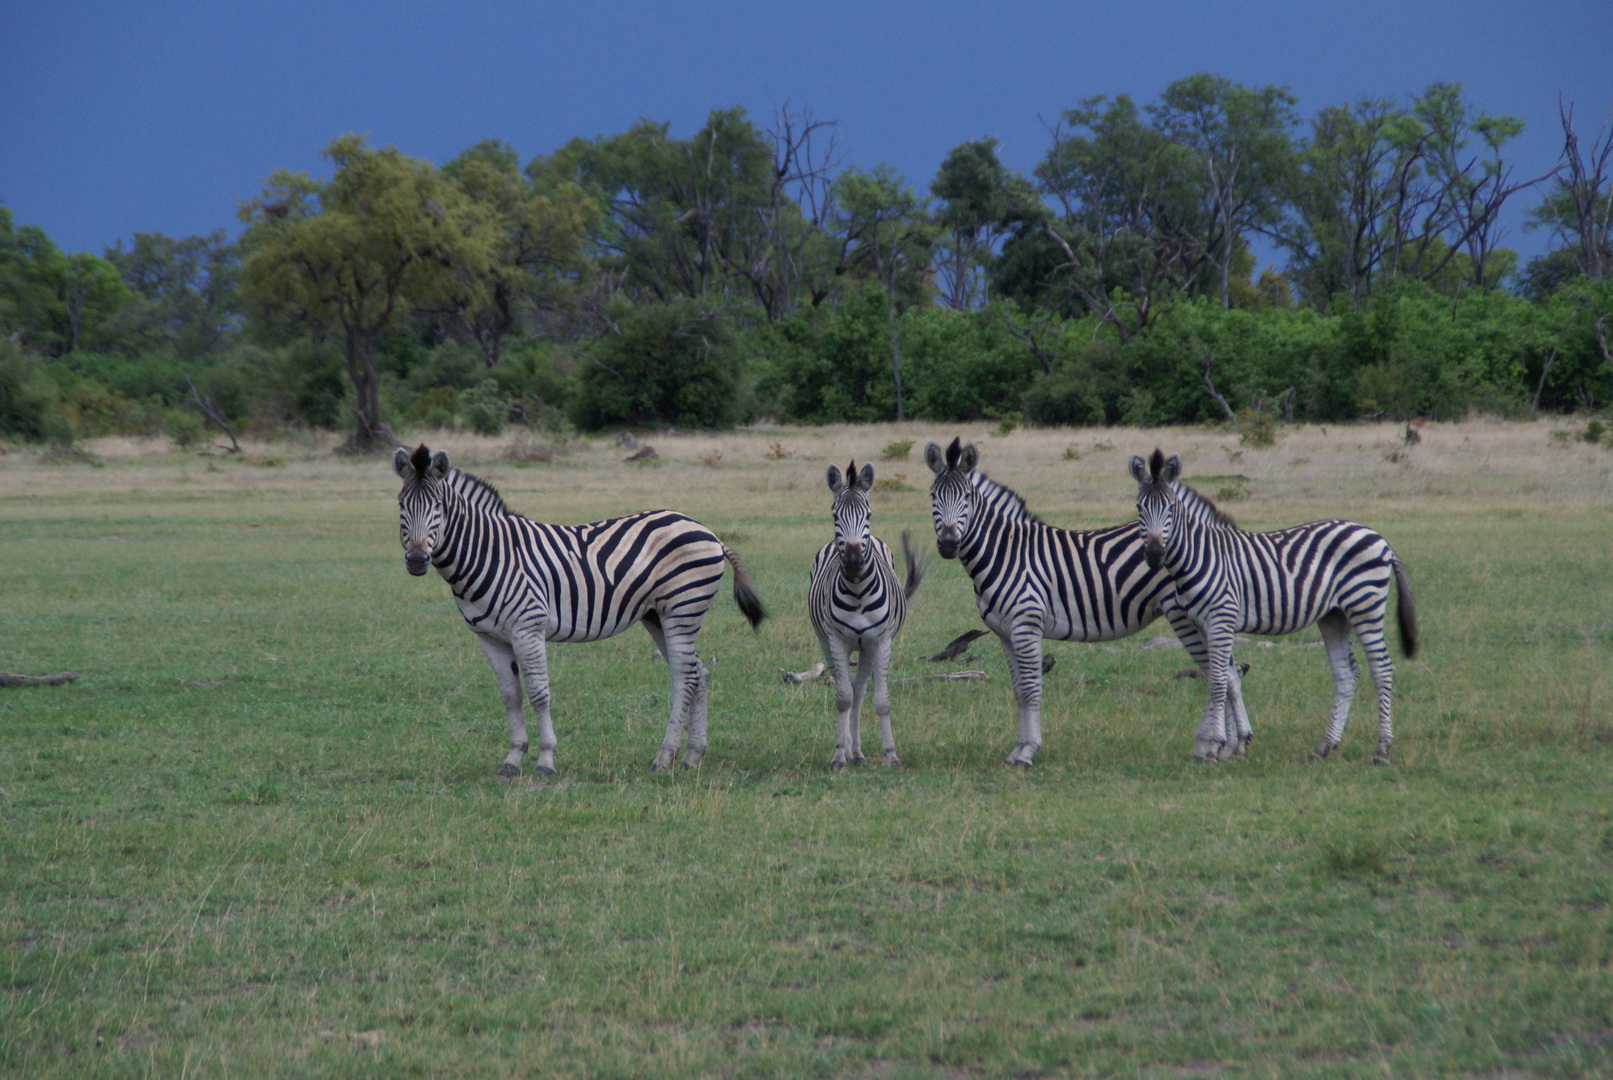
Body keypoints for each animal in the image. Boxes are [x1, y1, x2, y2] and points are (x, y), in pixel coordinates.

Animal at [393, 444, 764, 773]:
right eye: (400, 505)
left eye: (438, 507)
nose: (417, 559)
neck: (491, 553)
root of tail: (706, 530)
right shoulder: (489, 637)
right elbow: (510, 696)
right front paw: (513, 758)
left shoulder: (528, 627)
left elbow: (538, 694)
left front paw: (545, 760)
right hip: (658, 616)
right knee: (698, 673)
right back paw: (690, 757)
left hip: (681, 610)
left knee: (685, 677)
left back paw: (664, 758)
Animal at [812, 461, 929, 773]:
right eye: (835, 514)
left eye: (868, 514)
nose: (853, 561)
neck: (857, 591)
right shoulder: (836, 640)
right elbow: (842, 697)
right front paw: (838, 755)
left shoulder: (881, 641)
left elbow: (881, 700)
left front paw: (891, 755)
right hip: (825, 641)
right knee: (848, 690)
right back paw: (849, 749)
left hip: (865, 647)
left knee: (860, 689)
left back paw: (858, 751)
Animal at [929, 435, 1251, 767]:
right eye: (933, 496)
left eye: (967, 497)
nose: (949, 544)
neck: (1006, 553)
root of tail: (1209, 530)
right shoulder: (1004, 632)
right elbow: (1018, 691)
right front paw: (1017, 749)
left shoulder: (1026, 626)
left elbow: (1031, 690)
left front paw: (1027, 751)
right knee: (1229, 673)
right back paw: (1231, 745)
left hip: (1186, 616)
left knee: (1221, 674)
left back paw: (1214, 746)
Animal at [1129, 451, 1419, 767]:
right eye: (1139, 508)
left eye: (1170, 508)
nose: (1154, 554)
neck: (1201, 554)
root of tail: (1378, 537)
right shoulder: (1203, 623)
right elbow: (1224, 679)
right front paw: (1229, 745)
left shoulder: (1221, 618)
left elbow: (1217, 681)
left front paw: (1215, 747)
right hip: (1334, 614)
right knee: (1346, 674)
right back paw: (1324, 747)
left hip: (1365, 605)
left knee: (1382, 669)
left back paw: (1382, 750)